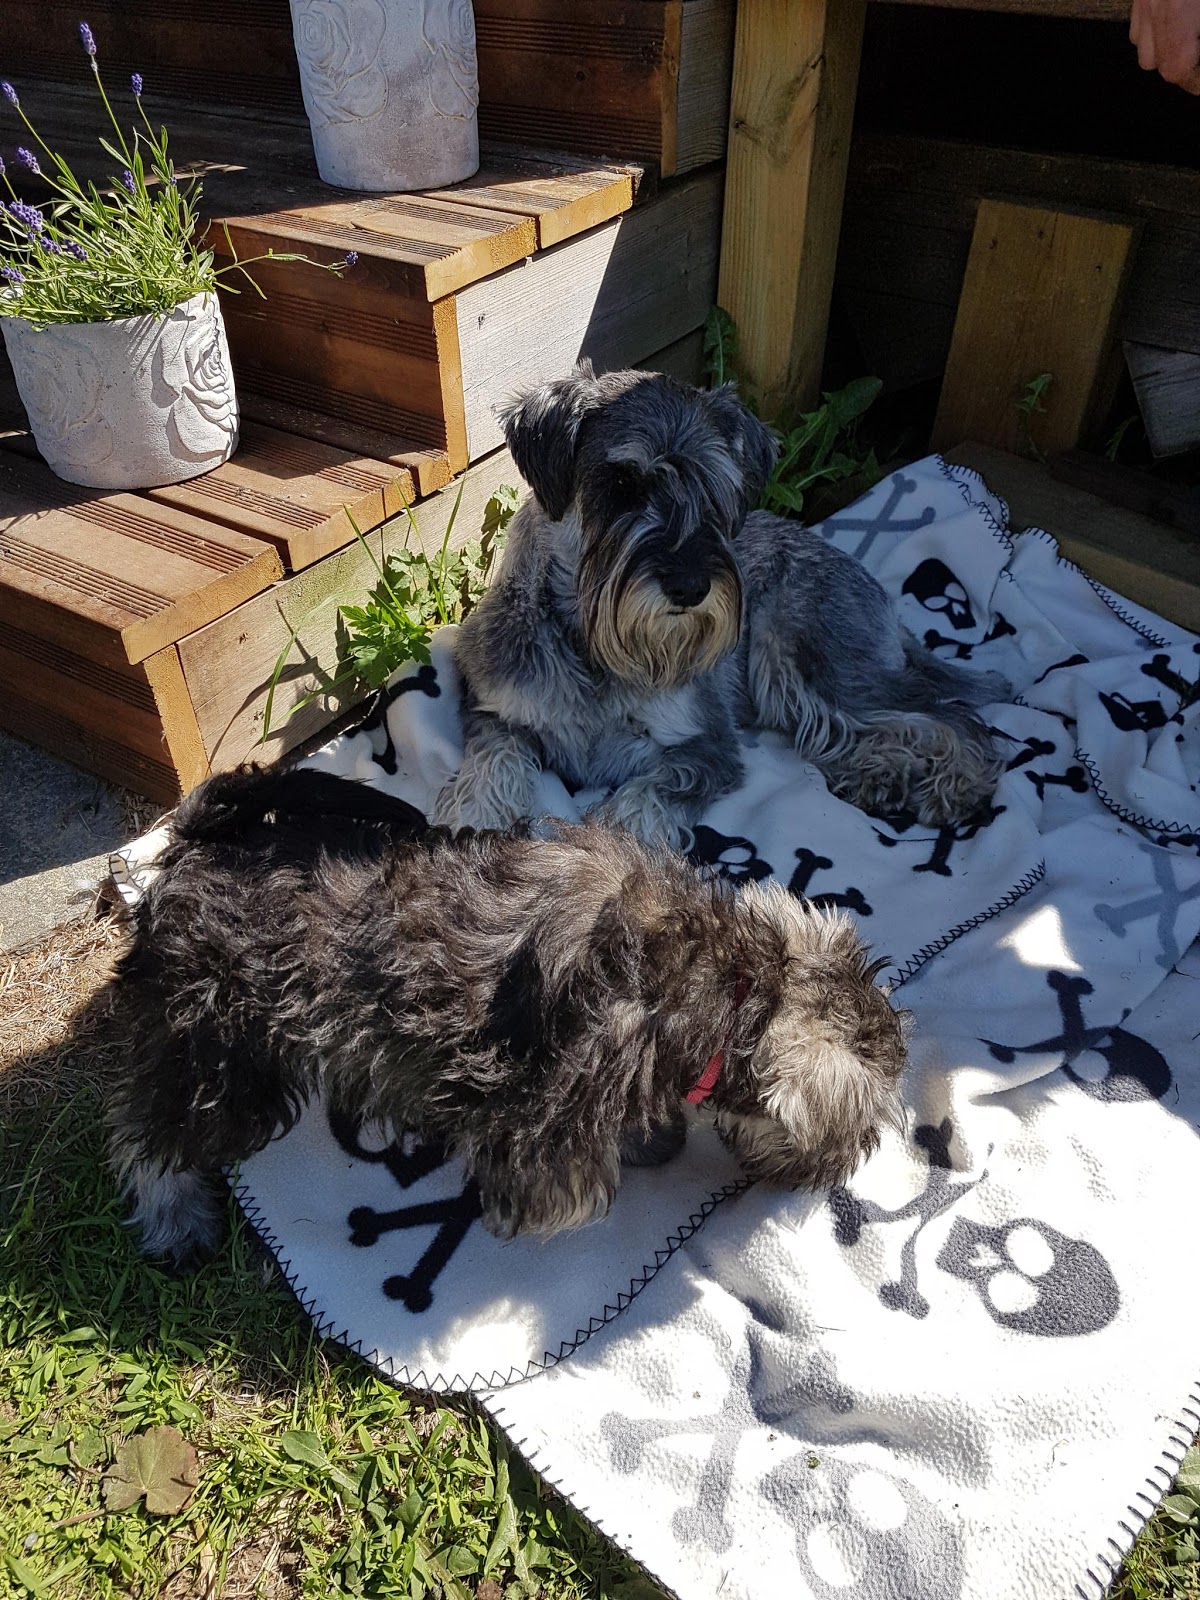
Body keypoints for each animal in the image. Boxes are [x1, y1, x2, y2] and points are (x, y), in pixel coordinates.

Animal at [106, 766, 908, 1269]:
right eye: (864, 1129)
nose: (827, 1178)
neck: (727, 988)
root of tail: (196, 843)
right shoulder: (547, 1115)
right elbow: (573, 1193)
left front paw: (655, 1132)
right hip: (223, 1052)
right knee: (148, 1135)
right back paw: (175, 1220)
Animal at [434, 365, 1010, 851]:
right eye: (621, 484)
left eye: (715, 490)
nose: (690, 586)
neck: (593, 651)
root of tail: (878, 593)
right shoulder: (495, 710)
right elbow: (493, 760)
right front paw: (474, 816)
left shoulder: (705, 745)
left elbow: (648, 795)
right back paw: (880, 775)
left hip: (805, 660)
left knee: (949, 718)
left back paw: (954, 784)